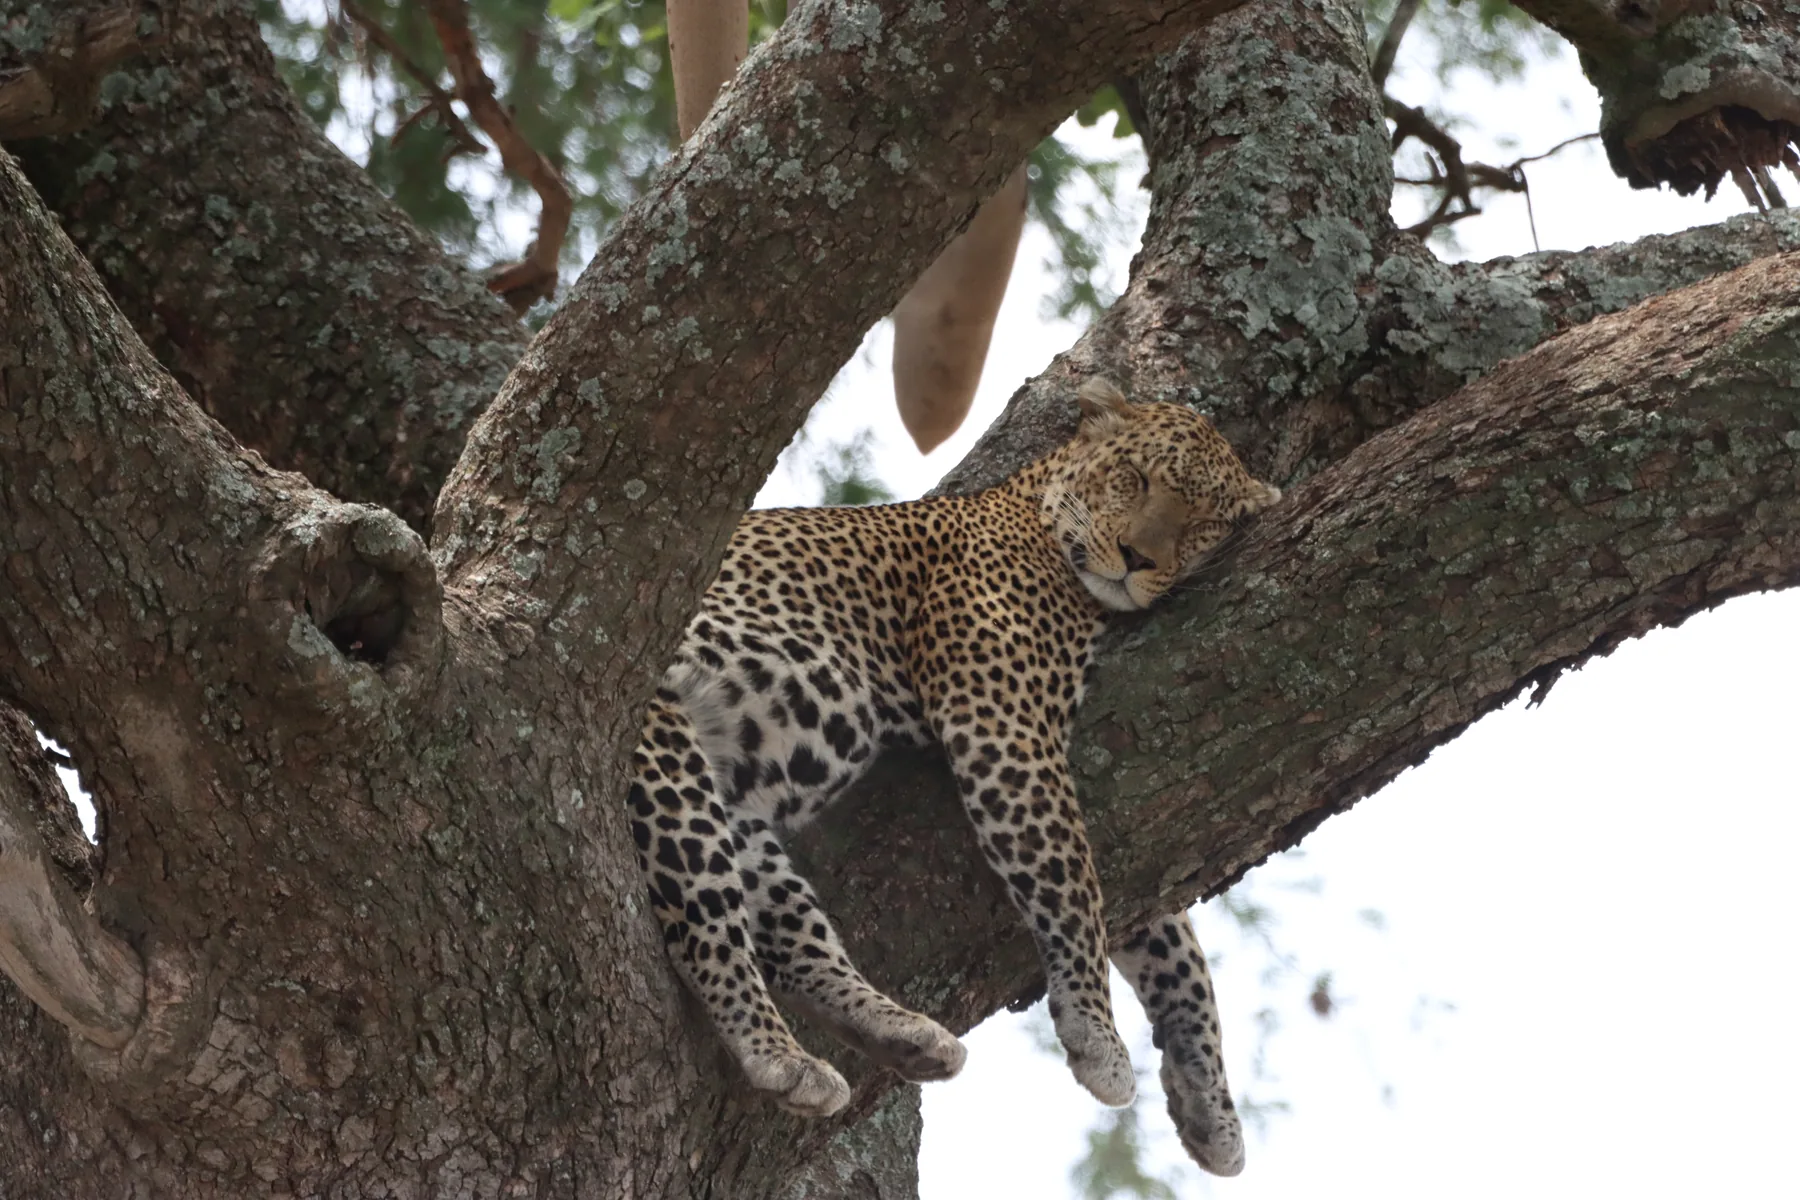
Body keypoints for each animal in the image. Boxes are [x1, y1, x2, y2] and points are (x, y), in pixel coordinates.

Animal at [627, 377, 1281, 1177]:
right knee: (708, 929)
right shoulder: (1001, 728)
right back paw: (776, 1052)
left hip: (736, 809)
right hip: (665, 745)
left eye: (1203, 523)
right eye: (1135, 478)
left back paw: (896, 1032)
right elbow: (1075, 886)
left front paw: (1210, 1104)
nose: (1135, 557)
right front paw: (1097, 1036)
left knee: (792, 931)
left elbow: (1172, 944)